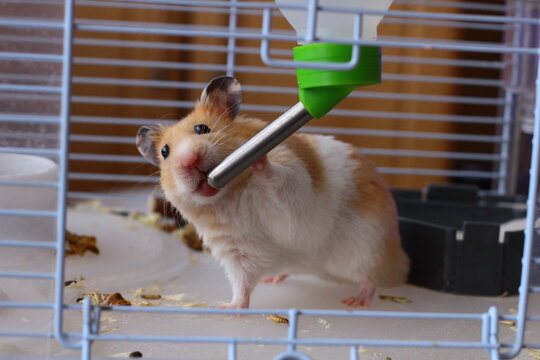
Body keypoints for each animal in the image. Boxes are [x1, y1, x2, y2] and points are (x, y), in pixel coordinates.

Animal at [136, 76, 410, 310]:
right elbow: (242, 284)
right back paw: (273, 279)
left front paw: (256, 159)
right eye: (165, 152)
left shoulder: (294, 186)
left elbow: (281, 180)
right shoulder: (235, 250)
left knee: (371, 279)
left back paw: (356, 301)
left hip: (368, 250)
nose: (188, 162)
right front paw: (229, 308)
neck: (228, 197)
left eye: (202, 129)